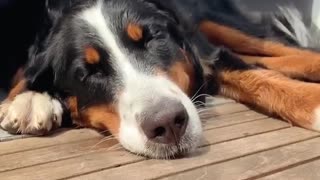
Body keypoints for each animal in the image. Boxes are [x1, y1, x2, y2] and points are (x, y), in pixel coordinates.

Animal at [0, 0, 320, 159]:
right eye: (90, 72)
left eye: (152, 39)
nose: (167, 123)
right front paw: (30, 100)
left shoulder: (207, 54)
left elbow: (252, 74)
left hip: (215, 23)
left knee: (281, 48)